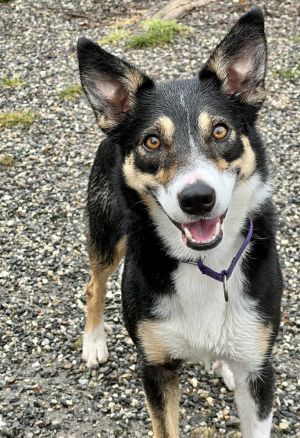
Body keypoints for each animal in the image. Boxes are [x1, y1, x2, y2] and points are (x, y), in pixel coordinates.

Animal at [77, 7, 282, 438]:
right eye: (152, 142)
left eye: (220, 130)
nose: (198, 198)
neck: (206, 265)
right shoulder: (156, 367)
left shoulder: (259, 369)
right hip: (107, 231)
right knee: (94, 284)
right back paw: (94, 342)